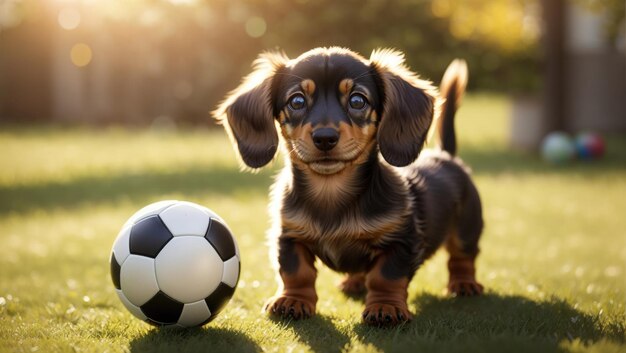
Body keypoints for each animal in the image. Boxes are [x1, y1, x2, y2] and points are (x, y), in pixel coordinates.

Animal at [214, 47, 482, 328]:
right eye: (296, 101)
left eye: (357, 100)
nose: (325, 138)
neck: (330, 192)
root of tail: (446, 155)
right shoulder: (289, 236)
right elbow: (296, 272)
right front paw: (292, 300)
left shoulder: (401, 241)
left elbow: (386, 277)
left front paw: (385, 306)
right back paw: (353, 282)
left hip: (467, 227)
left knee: (462, 258)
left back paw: (464, 284)